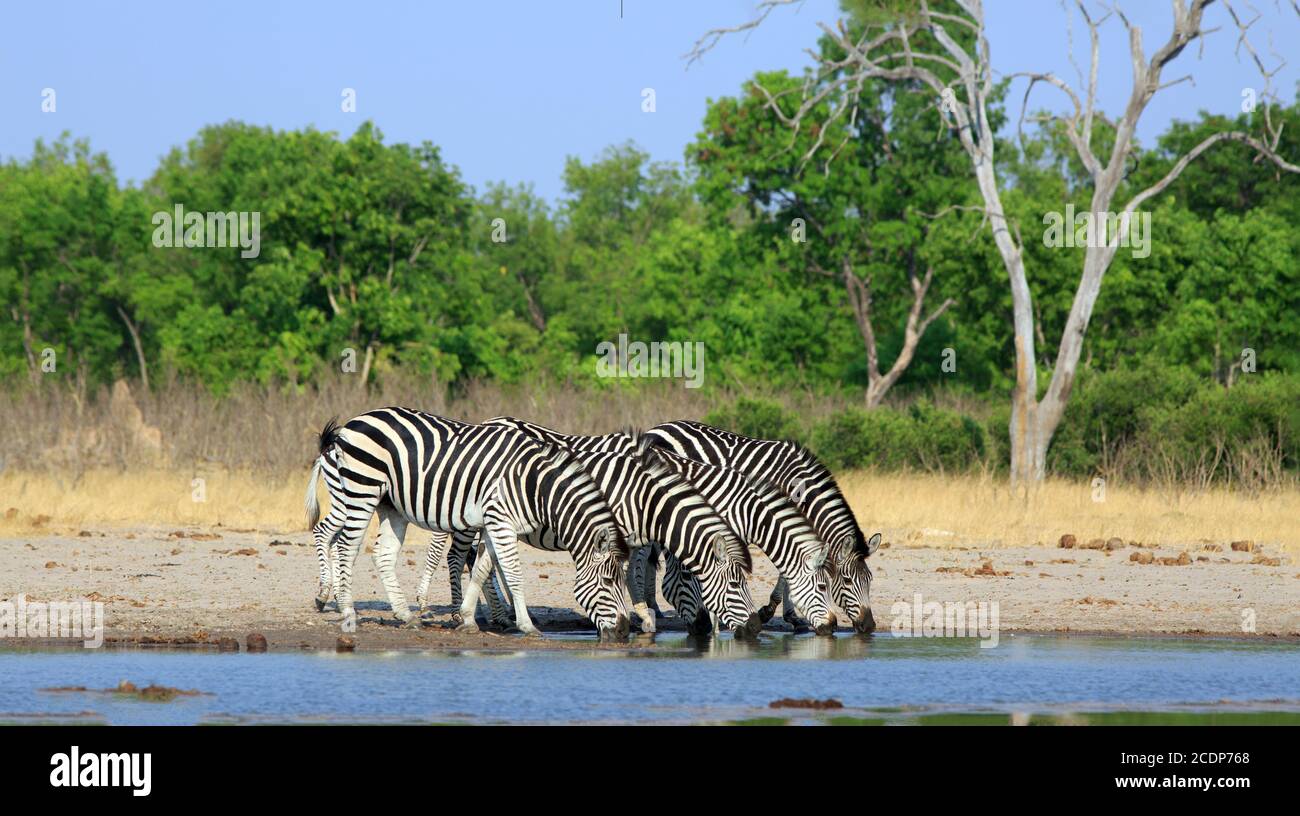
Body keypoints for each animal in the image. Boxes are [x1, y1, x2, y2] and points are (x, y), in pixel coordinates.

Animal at [304, 408, 631, 640]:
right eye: (608, 582)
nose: (625, 630)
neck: (533, 484)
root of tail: (353, 422)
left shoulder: (494, 524)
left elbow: (481, 569)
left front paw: (468, 618)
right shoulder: (501, 521)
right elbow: (512, 573)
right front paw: (526, 625)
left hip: (390, 504)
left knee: (383, 555)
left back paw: (406, 615)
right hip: (362, 491)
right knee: (345, 546)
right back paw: (346, 610)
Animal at [417, 420, 762, 637]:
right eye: (690, 578)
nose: (704, 629)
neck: (644, 495)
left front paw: (641, 614)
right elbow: (627, 572)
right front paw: (639, 614)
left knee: (484, 559)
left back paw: (501, 614)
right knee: (457, 556)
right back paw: (460, 610)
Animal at [644, 420, 881, 633]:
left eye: (869, 579)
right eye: (847, 581)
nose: (869, 626)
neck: (798, 488)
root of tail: (658, 427)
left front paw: (790, 616)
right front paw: (768, 612)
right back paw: (651, 607)